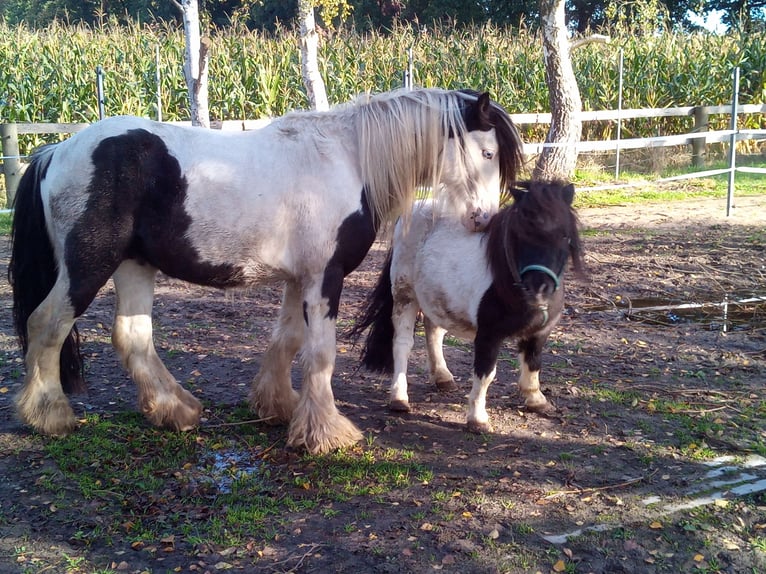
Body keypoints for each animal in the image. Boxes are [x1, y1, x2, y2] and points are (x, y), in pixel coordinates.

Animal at [8, 87, 524, 454]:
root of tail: (57, 151)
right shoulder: (324, 277)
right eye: (487, 153)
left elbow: (289, 341)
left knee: (131, 337)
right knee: (46, 324)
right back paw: (51, 415)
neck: (349, 157)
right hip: (88, 265)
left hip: (135, 266)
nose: (482, 218)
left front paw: (279, 407)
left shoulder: (300, 278)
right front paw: (326, 432)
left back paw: (176, 411)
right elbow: (320, 354)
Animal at [349, 180, 584, 433]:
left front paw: (536, 400)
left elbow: (533, 363)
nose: (538, 288)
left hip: (435, 297)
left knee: (434, 331)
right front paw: (477, 419)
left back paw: (442, 377)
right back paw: (399, 398)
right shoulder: (489, 335)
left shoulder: (539, 333)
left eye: (564, 236)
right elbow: (486, 373)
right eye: (520, 235)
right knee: (402, 344)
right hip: (405, 296)